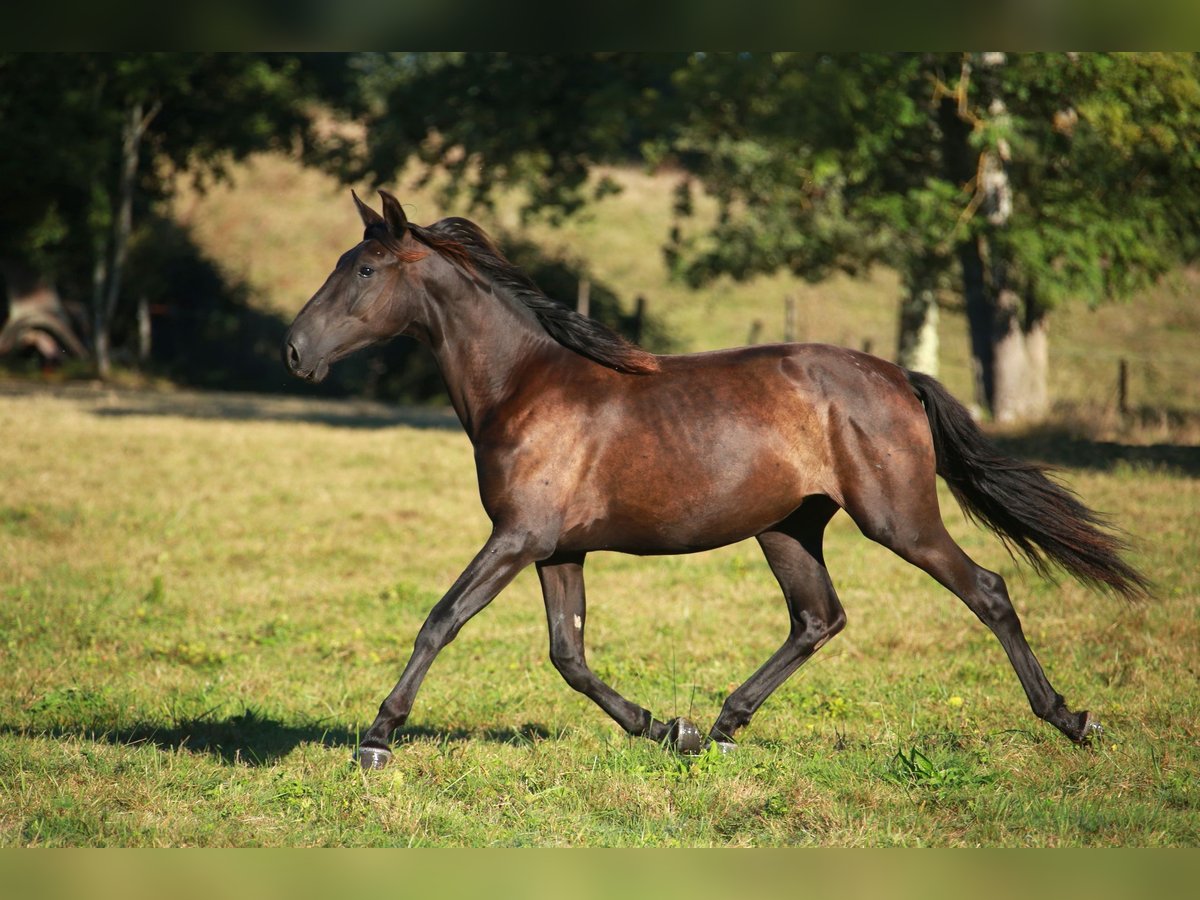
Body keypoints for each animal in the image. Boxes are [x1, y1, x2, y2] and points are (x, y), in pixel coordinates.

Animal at [283, 190, 1152, 768]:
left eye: (365, 270)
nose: (294, 350)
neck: (523, 386)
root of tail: (898, 377)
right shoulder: (556, 549)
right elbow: (569, 654)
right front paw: (670, 728)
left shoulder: (516, 537)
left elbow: (442, 620)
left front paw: (376, 739)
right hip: (789, 527)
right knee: (818, 618)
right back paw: (726, 723)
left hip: (897, 519)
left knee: (987, 591)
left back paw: (1070, 719)